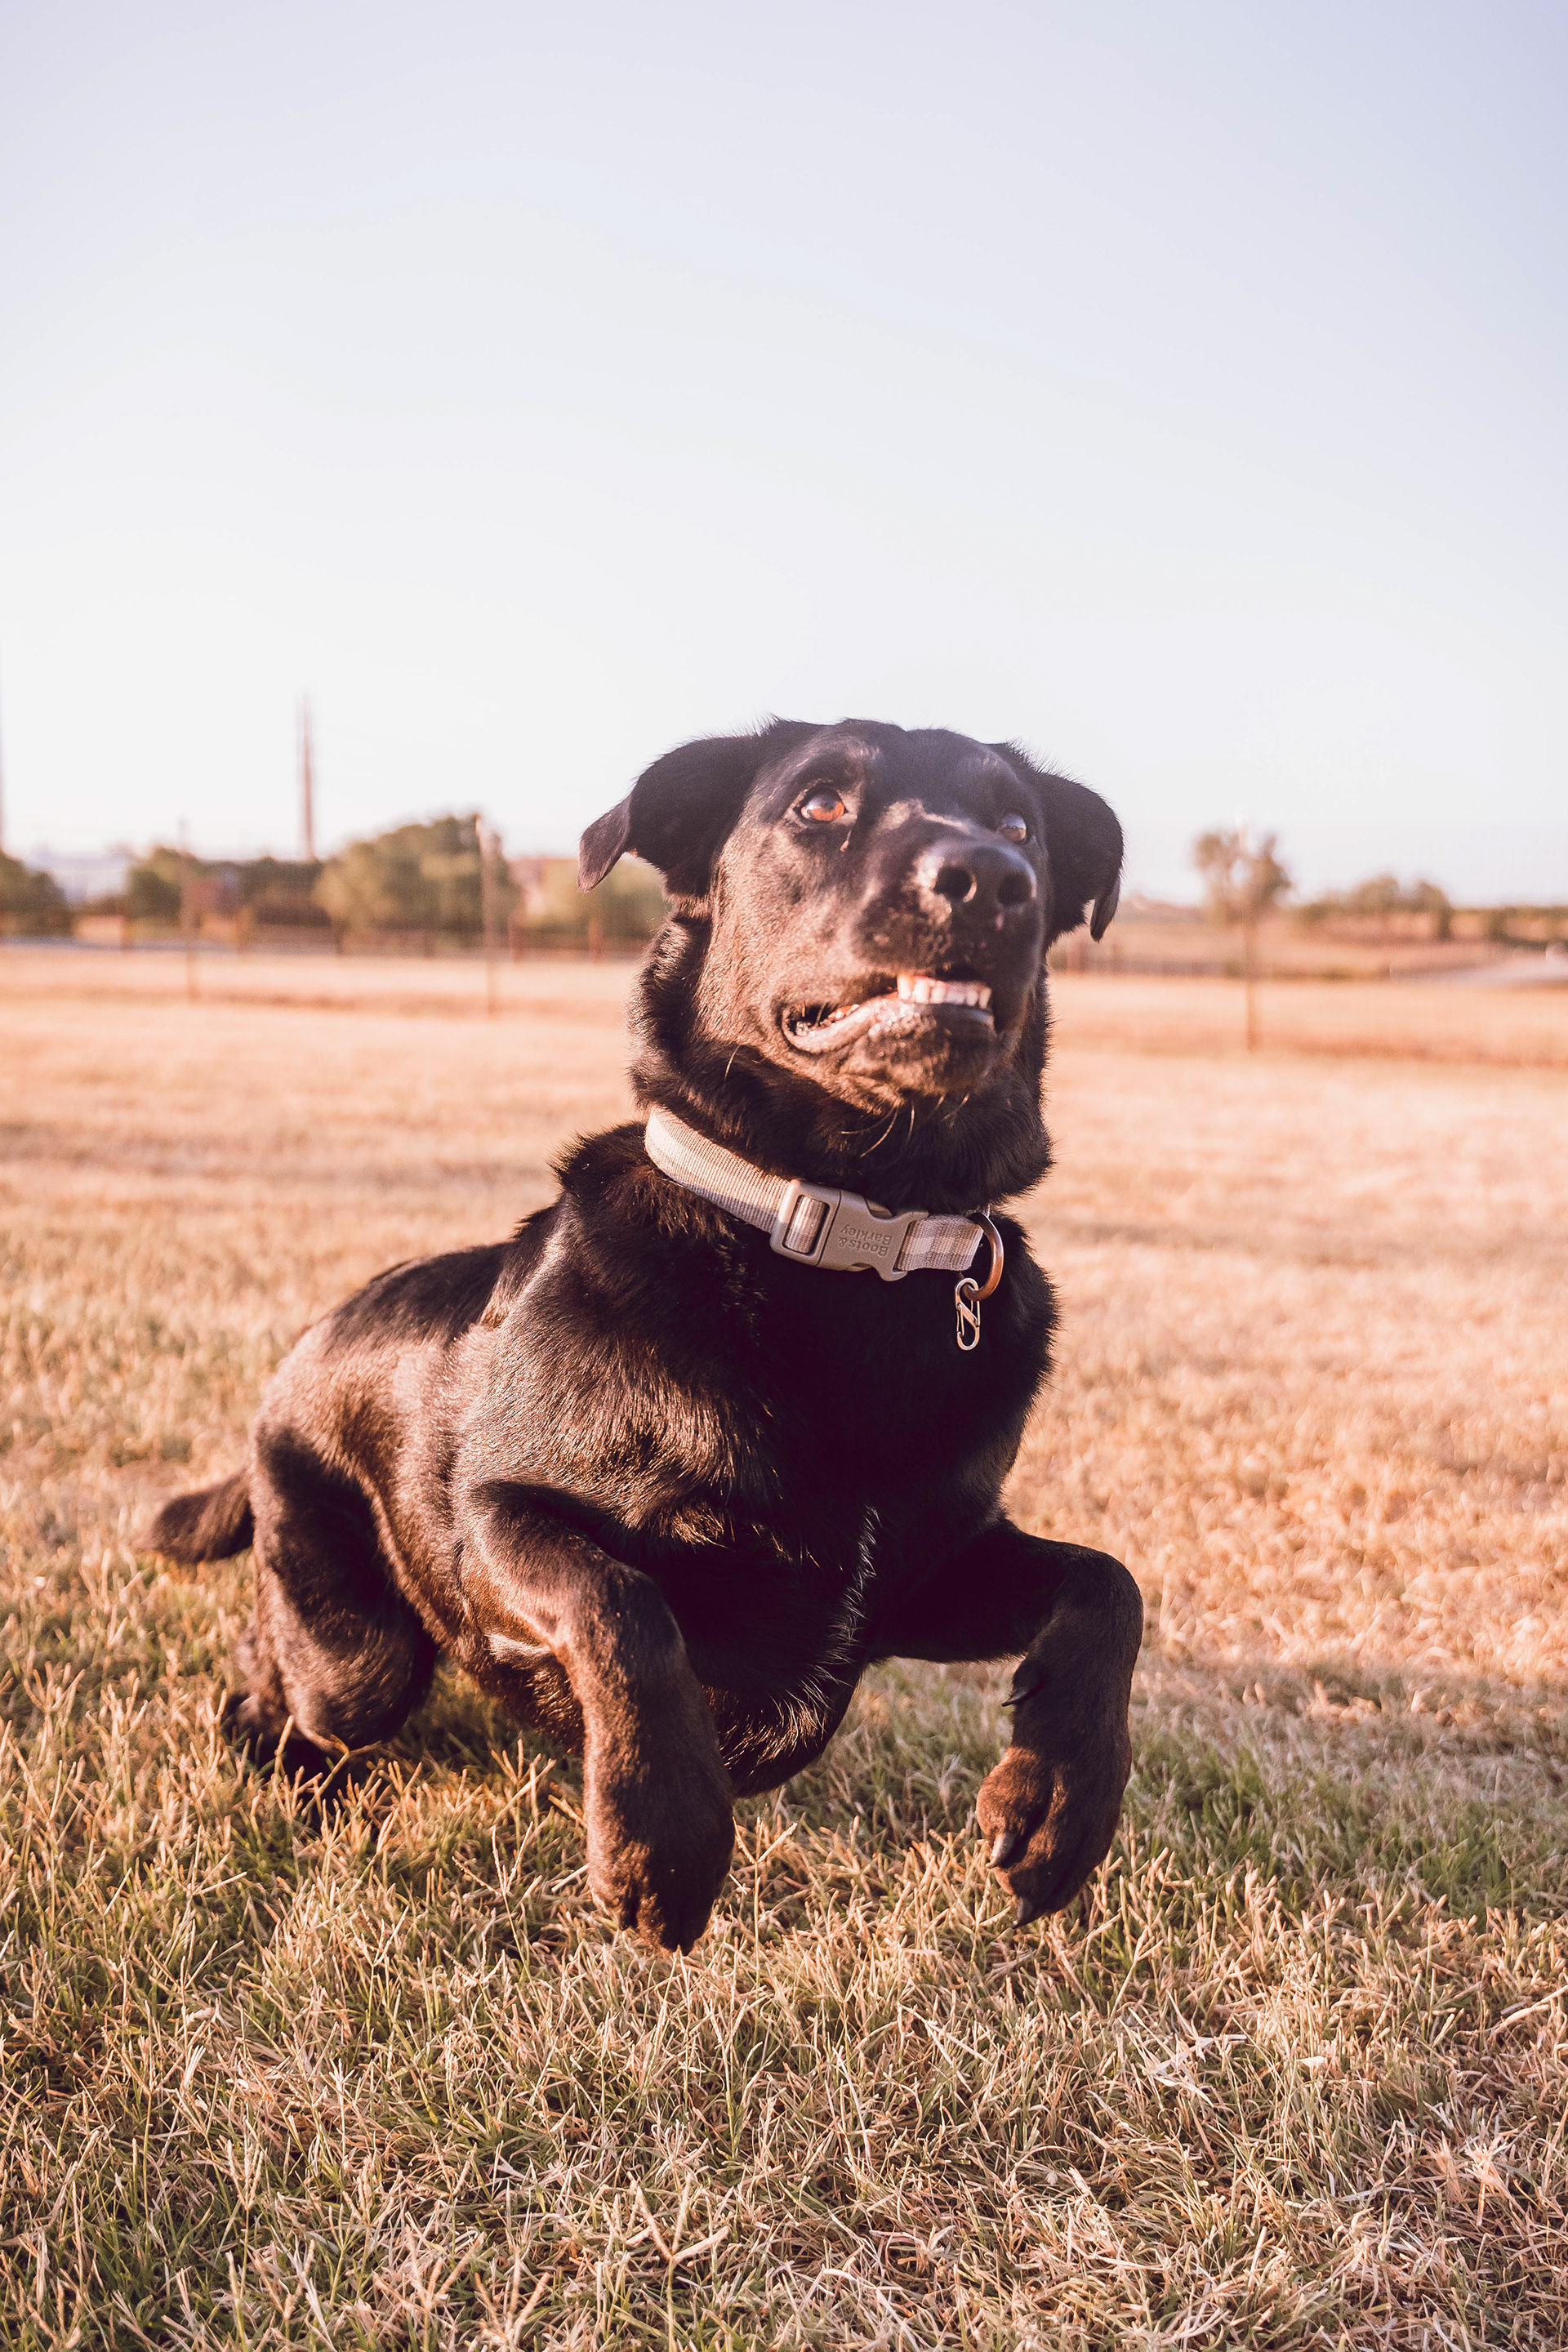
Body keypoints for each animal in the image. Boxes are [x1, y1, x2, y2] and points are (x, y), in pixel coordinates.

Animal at [148, 718, 1142, 1952]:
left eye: (1021, 828)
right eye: (820, 805)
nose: (991, 878)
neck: (844, 1243)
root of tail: (297, 1353)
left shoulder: (928, 1569)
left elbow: (1109, 1586)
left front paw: (1060, 1804)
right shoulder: (497, 1524)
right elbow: (623, 1604)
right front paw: (663, 1838)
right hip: (358, 1651)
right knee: (292, 1678)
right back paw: (285, 1765)